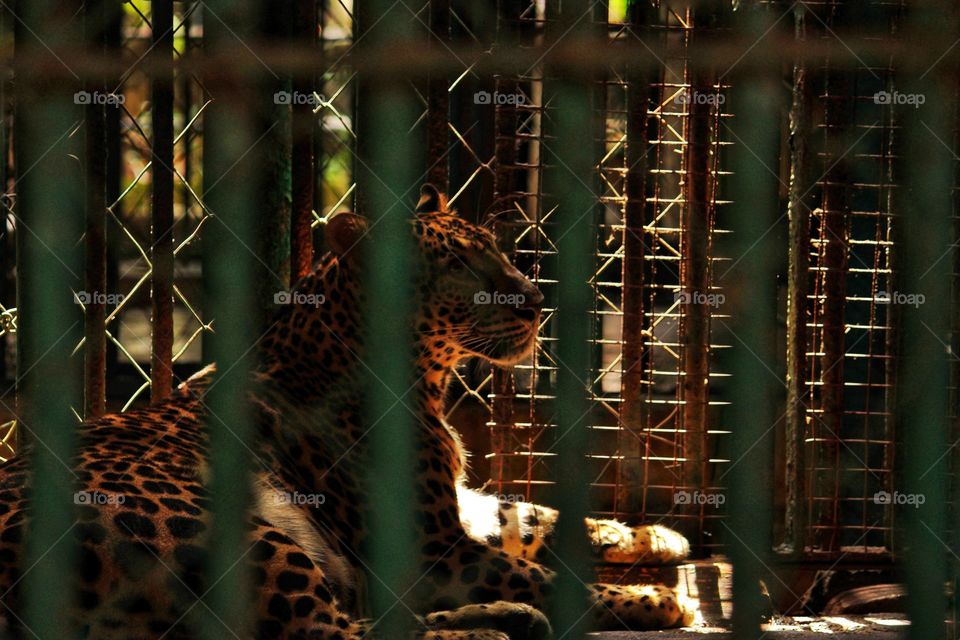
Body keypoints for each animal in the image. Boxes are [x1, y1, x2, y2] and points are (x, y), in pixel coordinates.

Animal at [0, 182, 696, 636]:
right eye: (458, 266)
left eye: (495, 250)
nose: (533, 300)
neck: (426, 375)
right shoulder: (435, 548)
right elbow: (550, 576)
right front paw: (656, 601)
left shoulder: (454, 513)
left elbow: (530, 513)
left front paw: (655, 535)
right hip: (221, 527)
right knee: (329, 634)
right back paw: (494, 628)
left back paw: (508, 620)